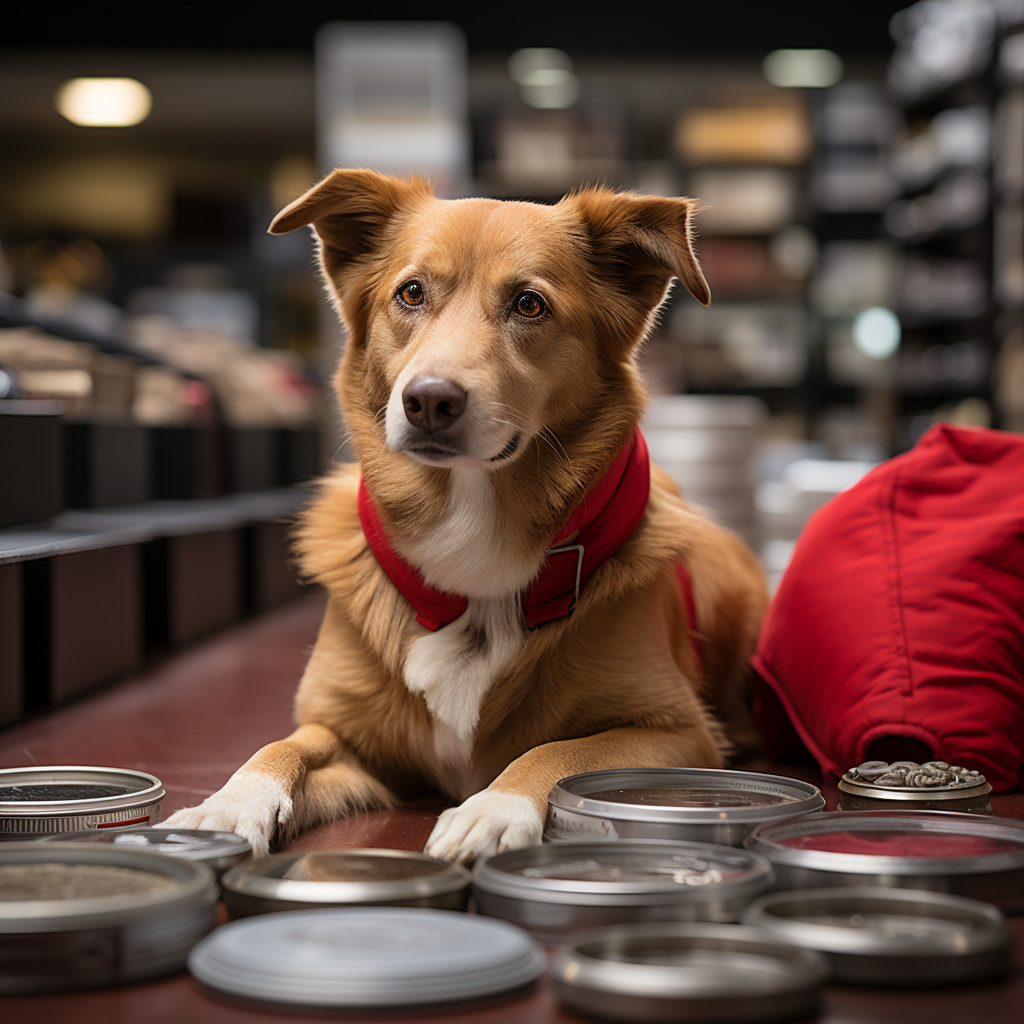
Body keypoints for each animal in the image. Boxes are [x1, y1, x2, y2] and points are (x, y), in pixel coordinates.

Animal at [161, 172, 770, 860]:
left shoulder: (678, 732)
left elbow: (555, 751)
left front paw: (495, 808)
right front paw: (228, 804)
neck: (472, 533)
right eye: (411, 293)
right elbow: (279, 747)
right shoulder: (354, 742)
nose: (428, 400)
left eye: (529, 304)